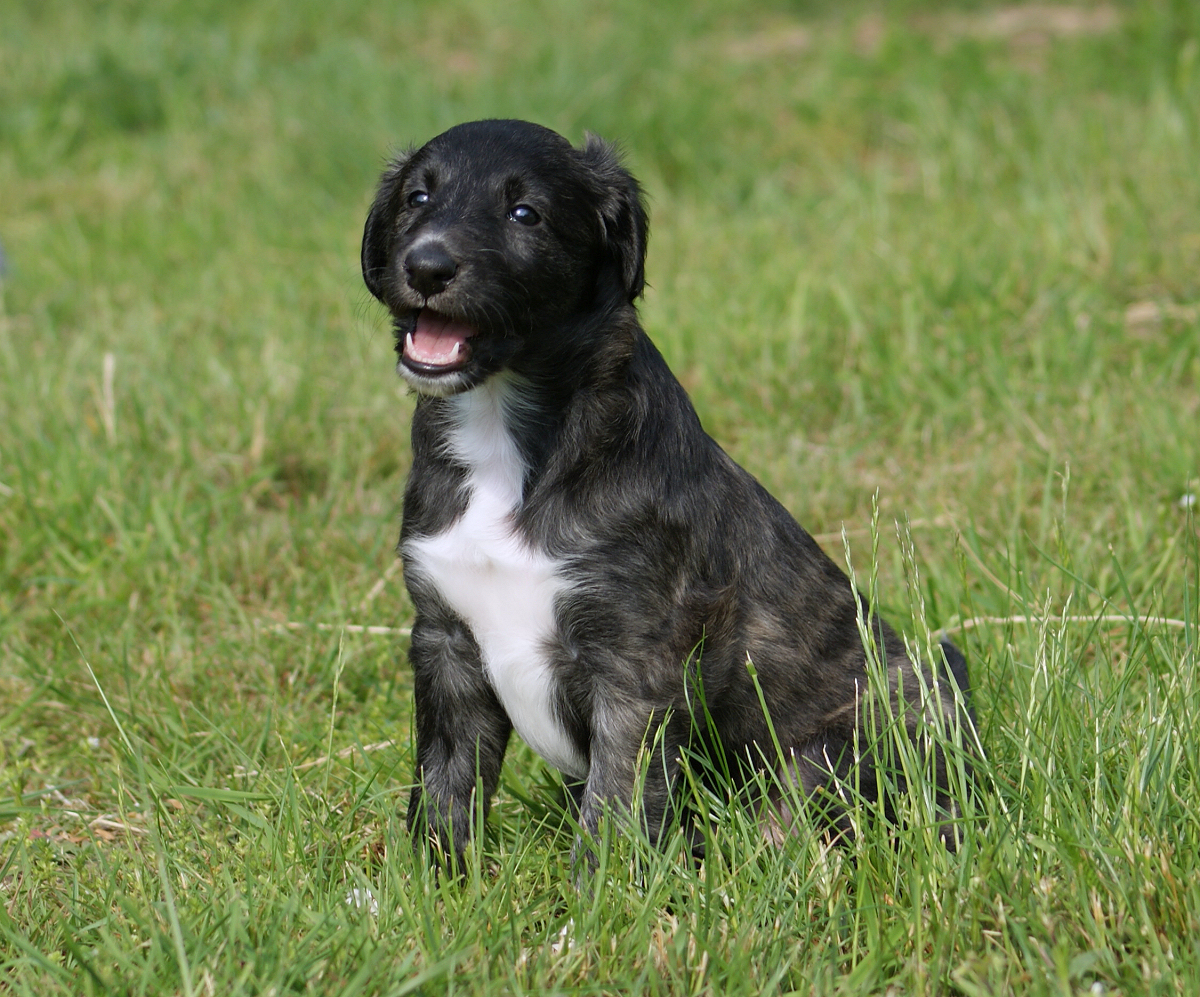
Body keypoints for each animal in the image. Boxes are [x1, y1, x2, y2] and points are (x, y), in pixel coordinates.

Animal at [360, 118, 969, 873]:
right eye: (417, 197)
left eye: (524, 213)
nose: (427, 267)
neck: (506, 432)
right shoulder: (444, 641)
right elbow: (446, 781)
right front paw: (430, 882)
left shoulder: (636, 660)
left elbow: (615, 800)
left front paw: (597, 896)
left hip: (844, 747)